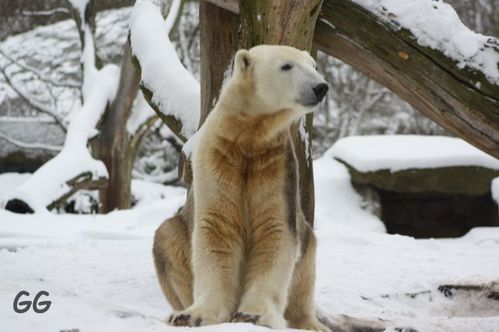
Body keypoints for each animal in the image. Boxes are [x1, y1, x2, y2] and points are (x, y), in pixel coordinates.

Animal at [154, 44, 330, 332]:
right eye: (286, 66)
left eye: (314, 65)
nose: (321, 87)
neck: (247, 136)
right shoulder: (217, 158)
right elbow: (217, 227)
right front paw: (192, 315)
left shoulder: (276, 165)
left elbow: (275, 229)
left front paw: (254, 315)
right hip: (176, 236)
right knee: (167, 236)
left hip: (307, 252)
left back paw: (311, 324)